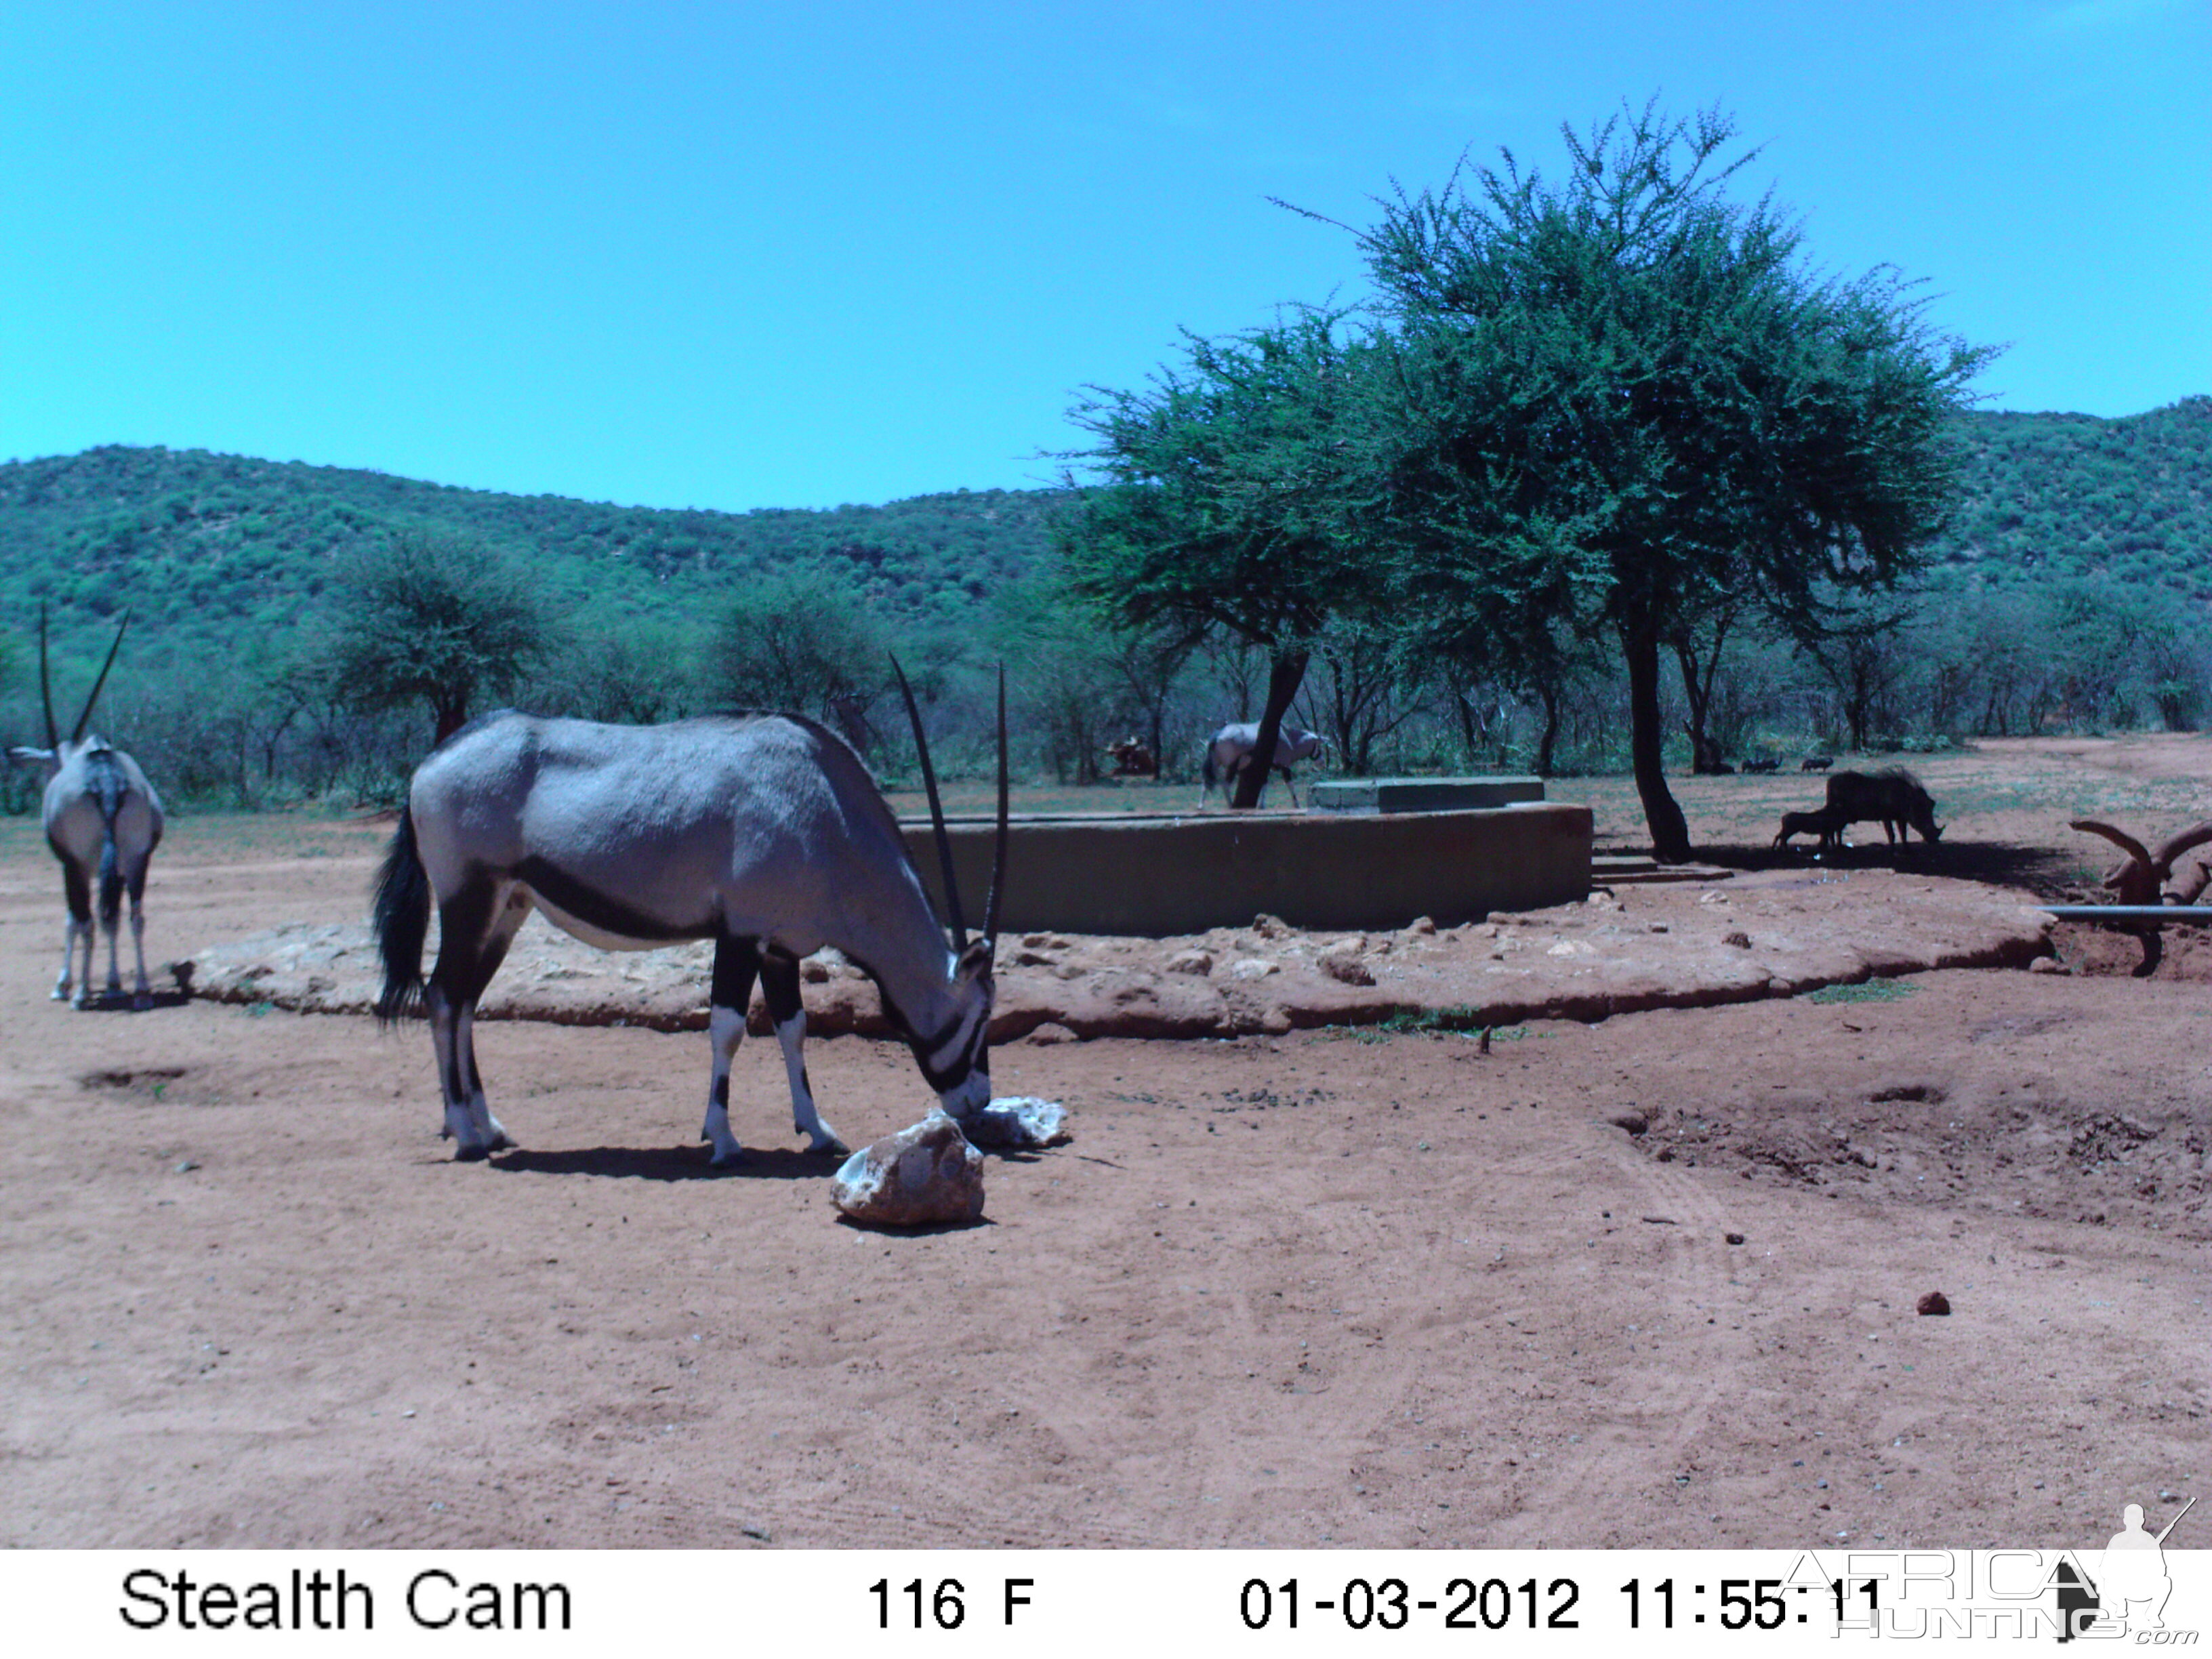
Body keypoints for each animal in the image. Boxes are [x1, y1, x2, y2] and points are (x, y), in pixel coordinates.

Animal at [7, 619, 165, 1012]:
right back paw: (141, 991)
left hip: (80, 865)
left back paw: (79, 994)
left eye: (49, 766)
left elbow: (73, 920)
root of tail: (106, 779)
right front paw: (112, 985)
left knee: (87, 920)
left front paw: (65, 985)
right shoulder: (115, 867)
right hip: (136, 860)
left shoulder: (70, 864)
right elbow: (112, 919)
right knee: (132, 916)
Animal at [373, 668, 1012, 1159]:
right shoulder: (741, 934)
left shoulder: (782, 948)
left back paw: (490, 1127)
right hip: (468, 900)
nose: (977, 1100)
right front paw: (723, 1139)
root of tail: (432, 762)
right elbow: (728, 1028)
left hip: (507, 910)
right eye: (979, 1013)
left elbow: (794, 1030)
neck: (823, 805)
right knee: (443, 996)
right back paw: (465, 1133)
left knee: (465, 1002)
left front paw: (818, 1130)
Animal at [1203, 725, 1318, 809]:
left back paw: (1201, 806)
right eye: (1318, 744)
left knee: (1207, 782)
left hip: (1215, 764)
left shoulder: (1266, 767)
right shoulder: (1284, 766)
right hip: (1232, 766)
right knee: (1225, 784)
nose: (1320, 761)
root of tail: (1217, 737)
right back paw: (1231, 805)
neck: (1288, 736)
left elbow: (1264, 783)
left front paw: (1262, 805)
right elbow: (1290, 784)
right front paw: (1297, 804)